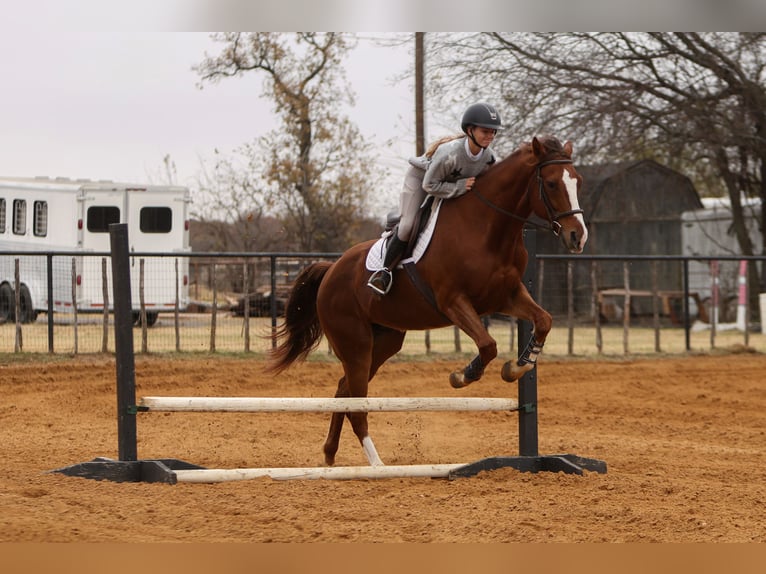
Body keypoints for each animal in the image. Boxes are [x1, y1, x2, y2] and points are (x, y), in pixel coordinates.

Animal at [266, 135, 588, 467]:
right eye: (551, 183)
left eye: (577, 181)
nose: (578, 237)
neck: (487, 228)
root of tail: (331, 271)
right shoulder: (453, 302)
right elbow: (488, 345)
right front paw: (462, 376)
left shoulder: (506, 297)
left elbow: (543, 321)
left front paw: (518, 367)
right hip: (355, 343)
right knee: (357, 405)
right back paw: (376, 466)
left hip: (384, 341)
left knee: (344, 391)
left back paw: (330, 455)